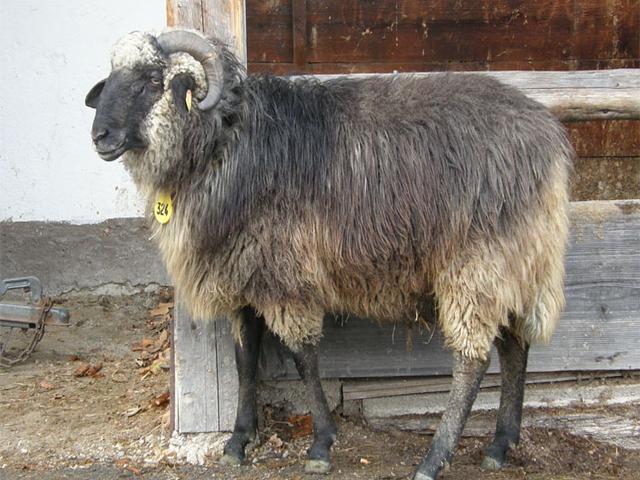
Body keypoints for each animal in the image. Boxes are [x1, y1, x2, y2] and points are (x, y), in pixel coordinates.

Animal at [85, 29, 573, 480]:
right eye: (112, 76)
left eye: (152, 80)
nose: (99, 136)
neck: (226, 142)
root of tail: (548, 139)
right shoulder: (244, 273)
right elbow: (245, 360)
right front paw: (239, 439)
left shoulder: (286, 275)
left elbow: (304, 358)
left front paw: (320, 443)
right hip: (515, 262)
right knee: (515, 344)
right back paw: (501, 444)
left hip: (478, 263)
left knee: (473, 359)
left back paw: (435, 458)